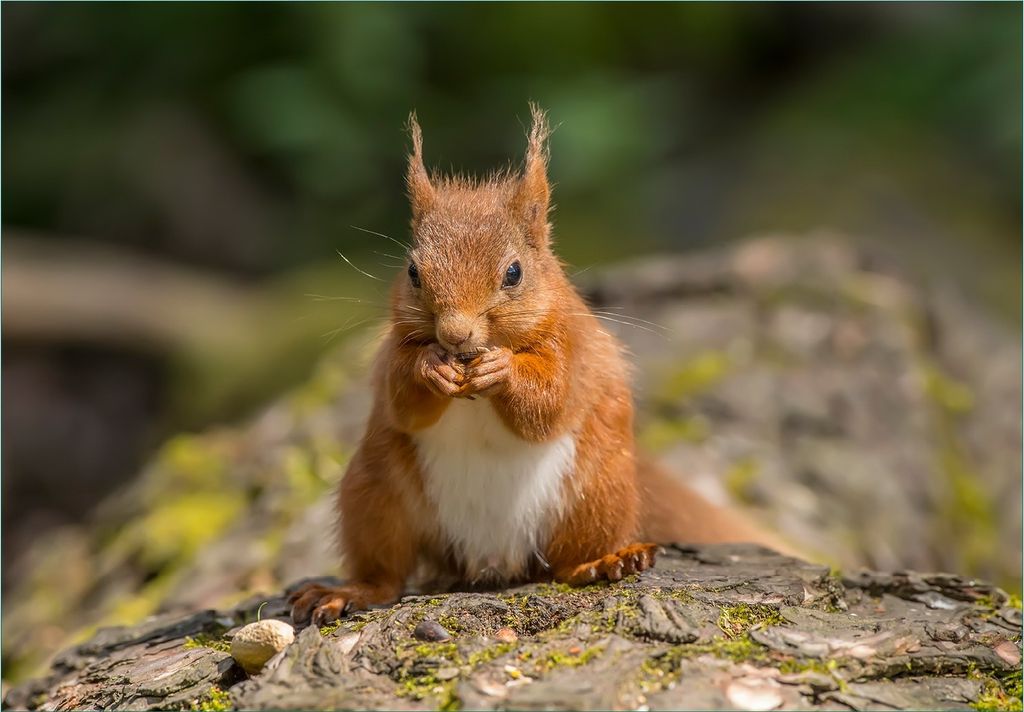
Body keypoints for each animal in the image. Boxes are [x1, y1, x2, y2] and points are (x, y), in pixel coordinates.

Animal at [289, 105, 789, 627]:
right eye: (412, 272)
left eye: (514, 273)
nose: (456, 334)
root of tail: (490, 561)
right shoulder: (392, 353)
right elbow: (402, 400)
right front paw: (431, 367)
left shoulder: (571, 348)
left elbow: (549, 402)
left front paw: (503, 370)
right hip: (374, 493)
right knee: (386, 572)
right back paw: (348, 592)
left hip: (597, 491)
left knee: (567, 563)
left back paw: (605, 561)